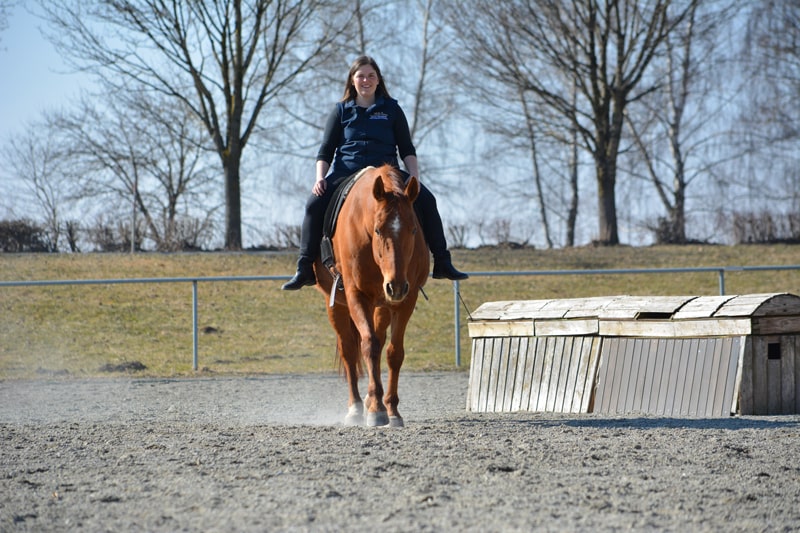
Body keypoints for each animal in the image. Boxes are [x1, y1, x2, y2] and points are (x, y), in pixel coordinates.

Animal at [314, 164, 432, 426]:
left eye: (413, 229)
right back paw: (356, 407)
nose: (395, 286)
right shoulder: (356, 296)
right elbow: (368, 346)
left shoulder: (406, 301)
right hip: (336, 304)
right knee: (350, 350)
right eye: (378, 230)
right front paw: (377, 410)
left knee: (378, 341)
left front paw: (391, 409)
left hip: (383, 305)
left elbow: (393, 353)